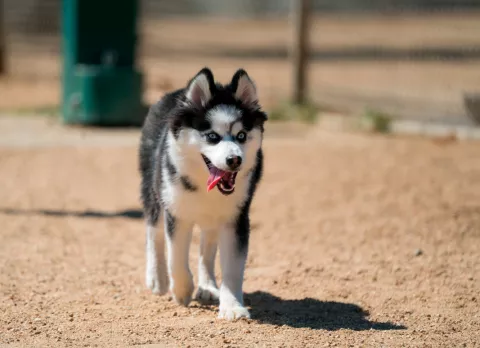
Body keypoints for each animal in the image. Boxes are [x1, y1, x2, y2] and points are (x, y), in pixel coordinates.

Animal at [138, 66, 266, 320]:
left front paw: (233, 306)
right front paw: (181, 291)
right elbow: (176, 257)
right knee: (153, 232)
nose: (235, 160)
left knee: (207, 248)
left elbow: (233, 267)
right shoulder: (176, 213)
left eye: (242, 136)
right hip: (154, 191)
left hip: (213, 218)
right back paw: (157, 278)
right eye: (212, 136)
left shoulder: (236, 218)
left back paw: (207, 286)